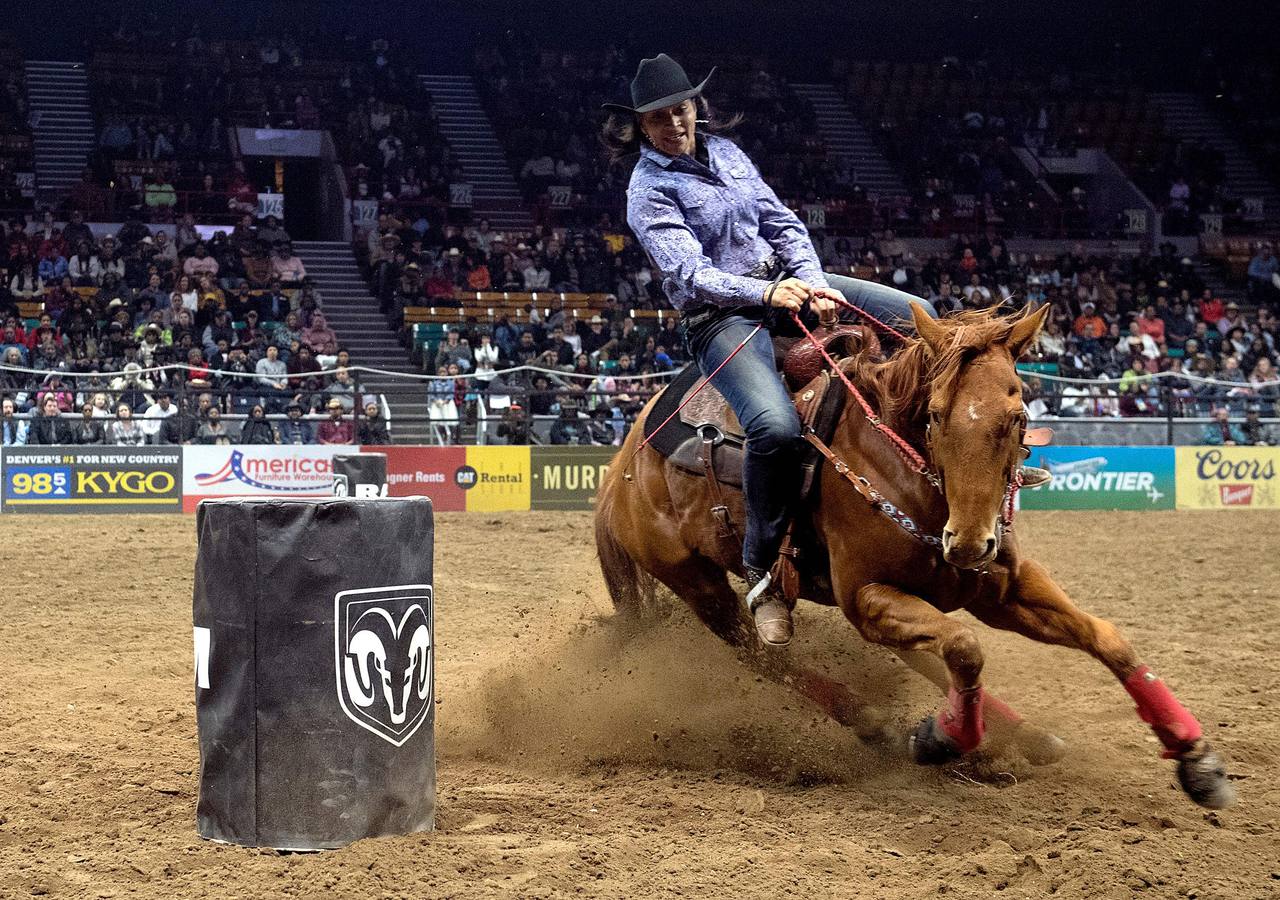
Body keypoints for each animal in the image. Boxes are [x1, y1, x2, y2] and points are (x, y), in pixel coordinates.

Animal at [593, 302, 1233, 809]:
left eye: (1018, 417)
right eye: (935, 414)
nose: (969, 543)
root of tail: (622, 465)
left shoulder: (1002, 587)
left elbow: (1106, 638)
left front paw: (1195, 758)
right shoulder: (866, 599)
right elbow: (967, 648)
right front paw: (941, 737)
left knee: (921, 657)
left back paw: (1029, 738)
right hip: (698, 584)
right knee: (763, 655)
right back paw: (871, 720)